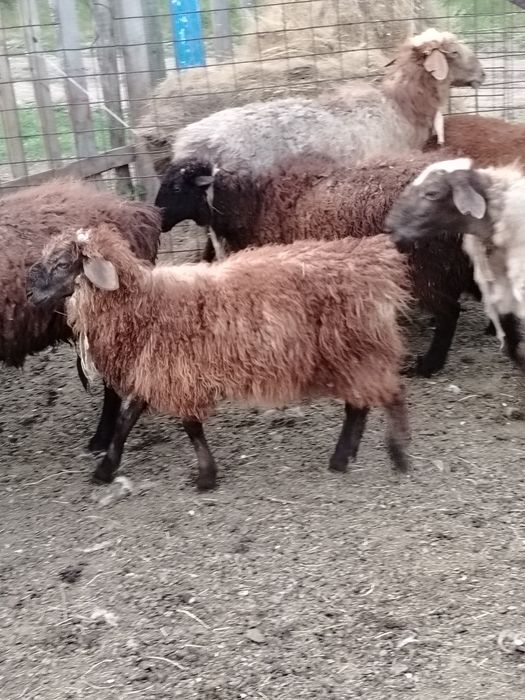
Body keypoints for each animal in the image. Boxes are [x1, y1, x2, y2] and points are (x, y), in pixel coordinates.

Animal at [27, 224, 412, 490]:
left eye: (61, 264)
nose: (29, 293)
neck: (143, 303)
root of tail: (374, 263)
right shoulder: (156, 369)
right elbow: (125, 421)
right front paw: (105, 470)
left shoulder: (175, 370)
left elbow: (189, 425)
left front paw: (206, 477)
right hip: (347, 353)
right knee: (359, 404)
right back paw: (342, 459)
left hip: (357, 347)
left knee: (390, 394)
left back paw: (398, 456)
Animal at [155, 150, 481, 377]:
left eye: (176, 188)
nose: (157, 218)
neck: (253, 203)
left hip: (428, 266)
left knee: (450, 312)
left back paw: (428, 365)